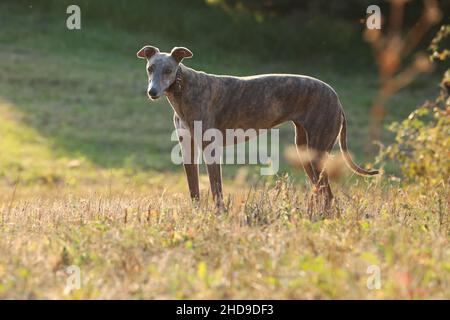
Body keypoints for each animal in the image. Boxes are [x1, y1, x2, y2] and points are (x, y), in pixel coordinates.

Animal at [135, 45, 378, 210]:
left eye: (168, 70)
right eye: (150, 68)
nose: (152, 92)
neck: (184, 88)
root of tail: (336, 98)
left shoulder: (211, 150)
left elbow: (216, 189)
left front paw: (219, 216)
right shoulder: (188, 149)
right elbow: (194, 189)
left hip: (317, 151)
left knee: (327, 195)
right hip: (305, 150)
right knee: (322, 192)